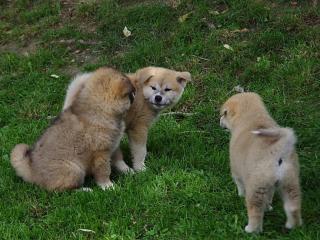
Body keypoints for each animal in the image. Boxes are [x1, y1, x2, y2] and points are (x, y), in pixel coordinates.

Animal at [63, 66, 191, 172]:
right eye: (153, 88)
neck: (142, 95)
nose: (158, 97)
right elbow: (140, 150)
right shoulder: (138, 128)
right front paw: (140, 168)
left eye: (167, 89)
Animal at [220, 93, 302, 233]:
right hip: (290, 182)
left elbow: (239, 184)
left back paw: (251, 229)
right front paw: (268, 207)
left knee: (255, 210)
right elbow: (269, 197)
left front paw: (240, 195)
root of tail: (278, 149)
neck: (252, 115)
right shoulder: (270, 186)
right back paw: (293, 226)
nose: (219, 122)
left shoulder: (236, 170)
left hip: (256, 186)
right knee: (293, 207)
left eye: (223, 114)